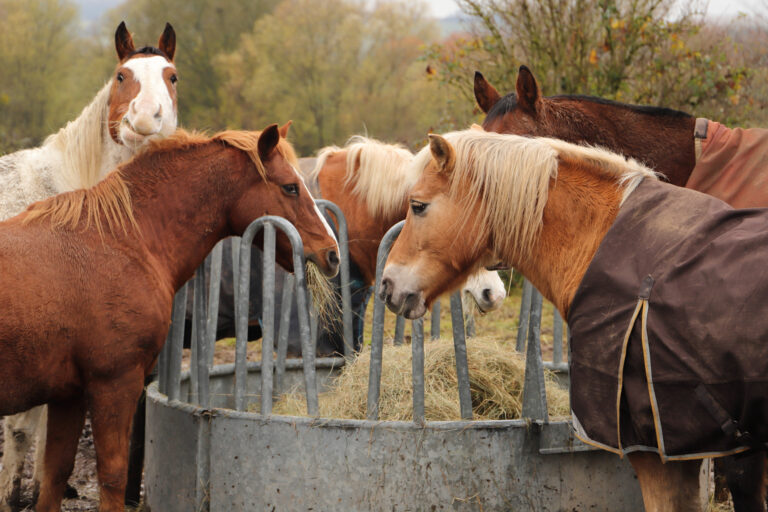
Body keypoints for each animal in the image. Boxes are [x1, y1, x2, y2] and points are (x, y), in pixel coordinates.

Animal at [0, 125, 339, 512]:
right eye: (290, 187)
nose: (332, 254)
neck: (121, 242)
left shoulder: (68, 395)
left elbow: (55, 474)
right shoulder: (114, 384)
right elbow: (113, 475)